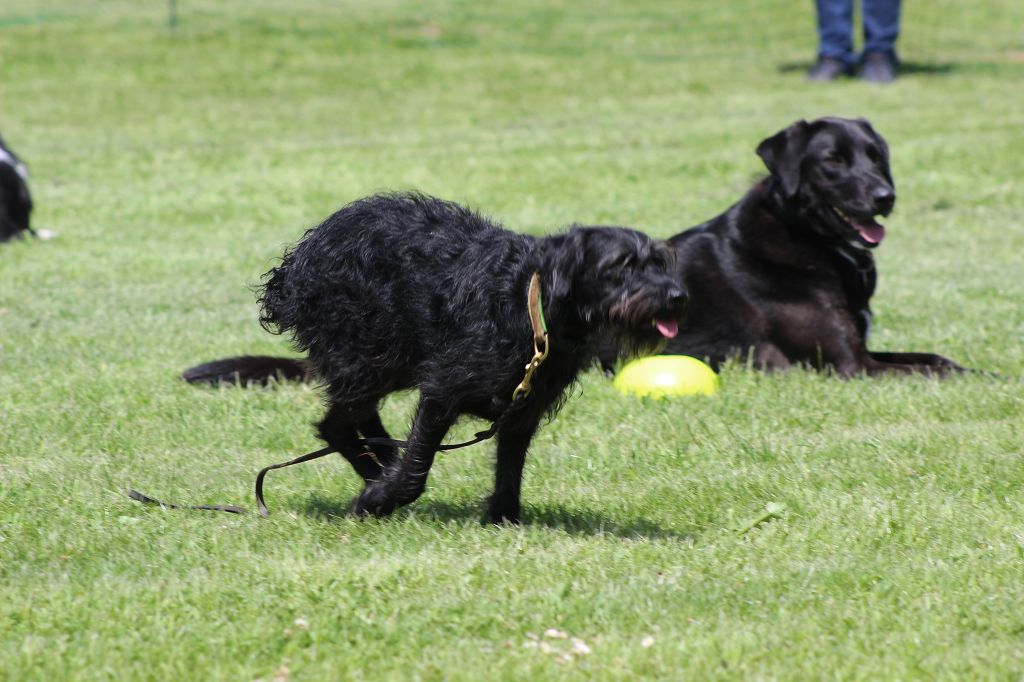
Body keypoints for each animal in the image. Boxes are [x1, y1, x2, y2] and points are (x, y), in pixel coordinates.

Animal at [216, 193, 687, 523]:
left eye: (660, 261)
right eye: (622, 265)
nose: (677, 296)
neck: (531, 304)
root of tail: (295, 265)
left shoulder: (523, 406)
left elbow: (510, 465)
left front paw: (503, 518)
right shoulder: (443, 390)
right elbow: (417, 467)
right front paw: (378, 500)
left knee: (357, 417)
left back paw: (380, 465)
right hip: (371, 354)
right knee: (337, 423)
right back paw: (377, 475)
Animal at [598, 117, 967, 376]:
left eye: (875, 157)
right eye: (833, 160)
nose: (885, 197)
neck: (806, 235)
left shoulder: (863, 351)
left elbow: (938, 360)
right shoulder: (853, 365)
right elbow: (937, 372)